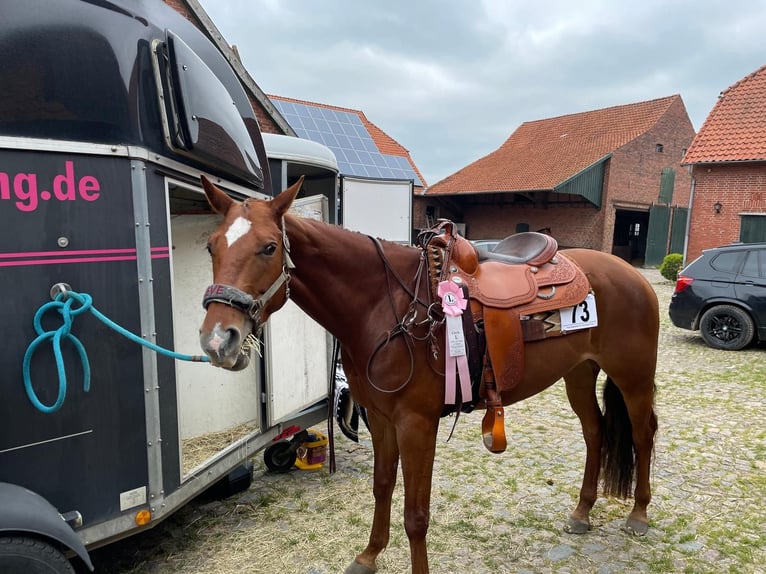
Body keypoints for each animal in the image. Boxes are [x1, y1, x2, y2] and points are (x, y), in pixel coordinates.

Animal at [198, 176, 659, 574]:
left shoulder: (417, 424)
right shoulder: (381, 417)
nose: (218, 339)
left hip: (633, 377)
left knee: (642, 434)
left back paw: (638, 514)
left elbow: (415, 515)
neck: (383, 305)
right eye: (210, 246)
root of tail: (631, 273)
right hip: (579, 373)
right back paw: (582, 511)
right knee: (595, 431)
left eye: (269, 247)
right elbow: (382, 486)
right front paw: (369, 555)